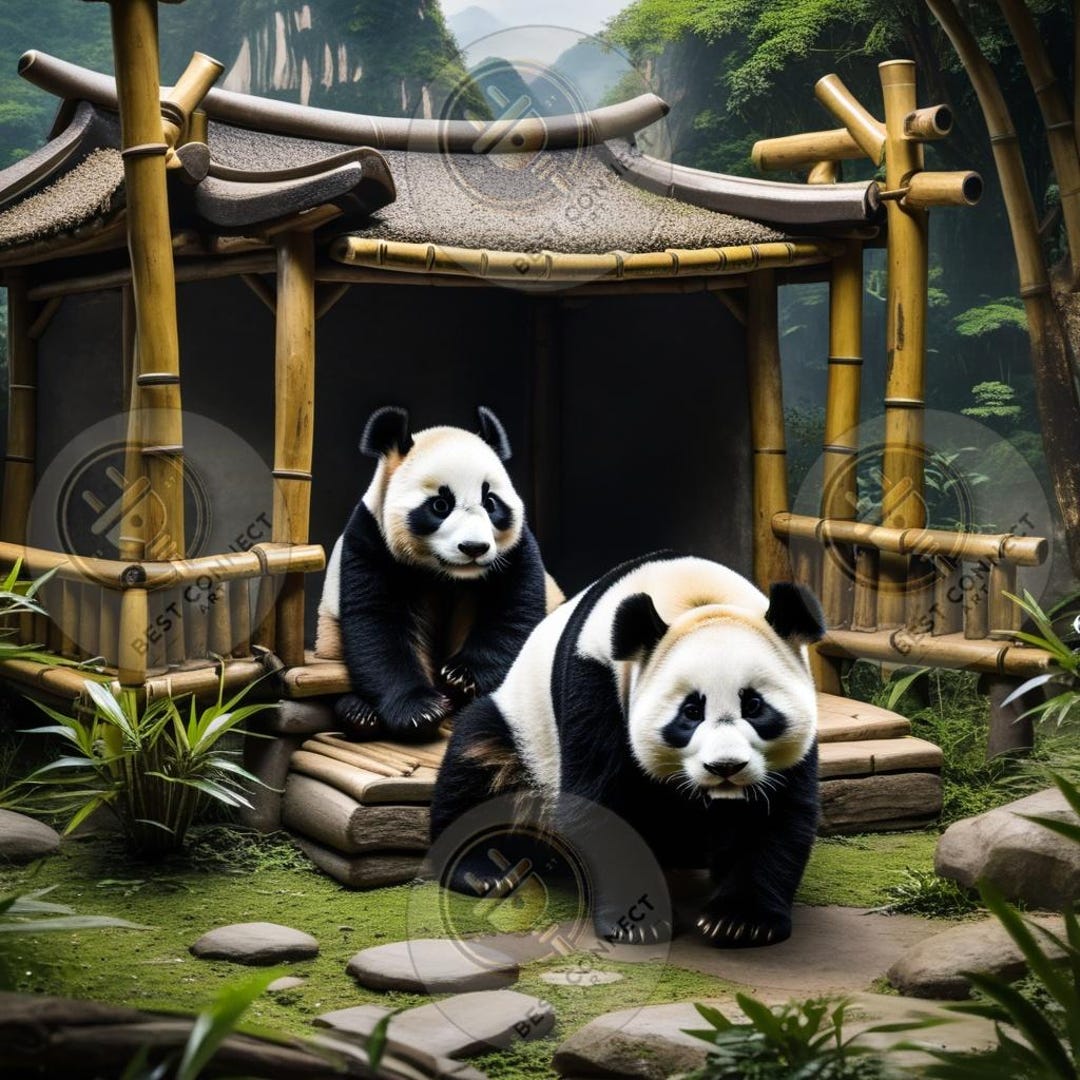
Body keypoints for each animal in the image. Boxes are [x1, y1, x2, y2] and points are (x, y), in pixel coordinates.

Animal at [317, 405, 561, 741]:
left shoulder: (514, 550)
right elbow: (379, 624)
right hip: (329, 629)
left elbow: (512, 611)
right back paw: (357, 713)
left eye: (490, 502)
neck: (445, 574)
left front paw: (463, 677)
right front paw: (419, 710)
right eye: (441, 505)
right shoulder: (370, 540)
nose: (474, 547)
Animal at [430, 551, 825, 947]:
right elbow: (602, 803)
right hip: (522, 727)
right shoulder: (595, 680)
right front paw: (639, 920)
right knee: (480, 760)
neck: (695, 600)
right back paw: (482, 872)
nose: (725, 767)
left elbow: (774, 814)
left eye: (754, 706)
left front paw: (740, 921)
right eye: (691, 712)